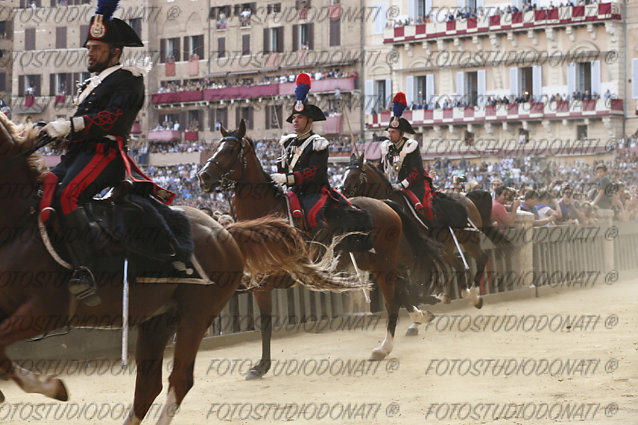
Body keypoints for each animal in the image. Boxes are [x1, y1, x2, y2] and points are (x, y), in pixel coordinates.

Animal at [0, 112, 358, 424]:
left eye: (231, 150)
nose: (204, 177)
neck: (19, 225)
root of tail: (225, 232)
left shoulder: (45, 311)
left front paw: (51, 387)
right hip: (157, 320)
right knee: (149, 385)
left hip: (194, 316)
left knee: (179, 379)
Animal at [195, 119, 436, 374]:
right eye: (216, 148)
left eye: (231, 150)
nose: (204, 176)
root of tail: (385, 204)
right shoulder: (259, 280)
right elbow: (263, 320)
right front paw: (261, 366)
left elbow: (266, 321)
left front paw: (262, 366)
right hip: (370, 261)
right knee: (400, 287)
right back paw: (418, 317)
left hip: (384, 262)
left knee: (392, 300)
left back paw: (385, 346)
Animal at [342, 152, 512, 308]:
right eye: (343, 173)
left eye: (354, 174)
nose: (342, 192)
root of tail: (467, 198)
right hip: (449, 245)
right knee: (458, 265)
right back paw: (454, 294)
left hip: (469, 239)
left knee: (481, 258)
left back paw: (474, 293)